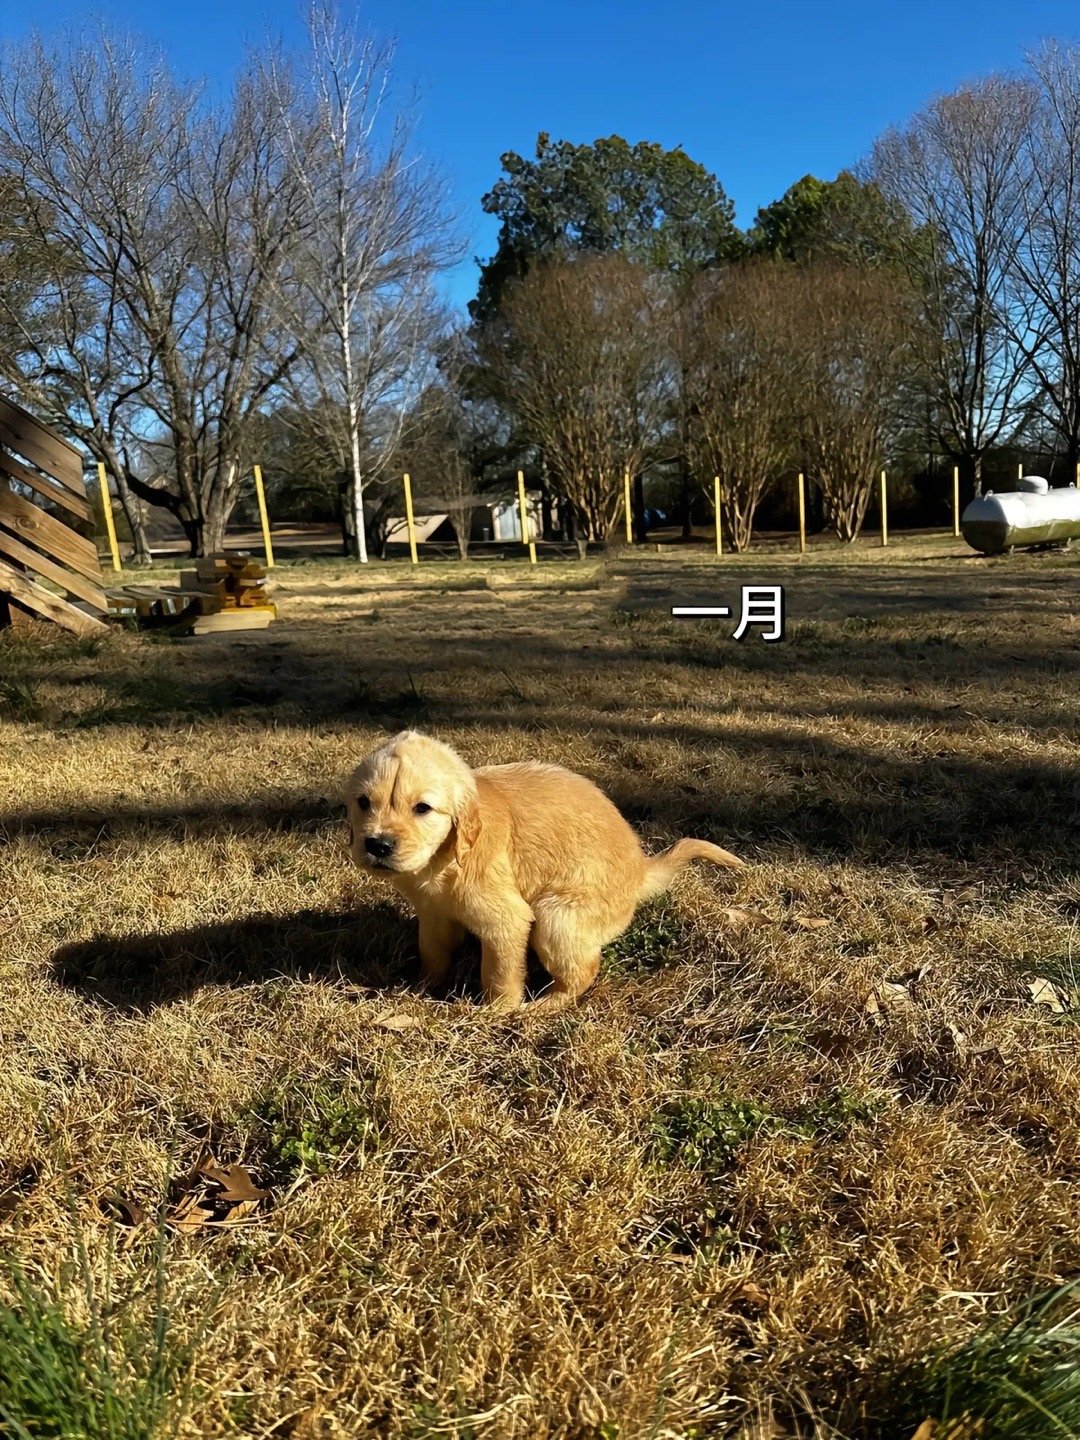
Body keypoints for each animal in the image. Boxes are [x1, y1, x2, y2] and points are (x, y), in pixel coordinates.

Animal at [347, 731, 743, 1013]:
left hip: (557, 918)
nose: (377, 845)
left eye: (422, 808)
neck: (442, 860)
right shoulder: (434, 914)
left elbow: (499, 974)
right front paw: (419, 989)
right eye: (363, 802)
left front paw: (496, 1013)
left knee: (583, 973)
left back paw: (544, 1006)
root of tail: (639, 871)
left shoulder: (507, 920)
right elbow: (433, 953)